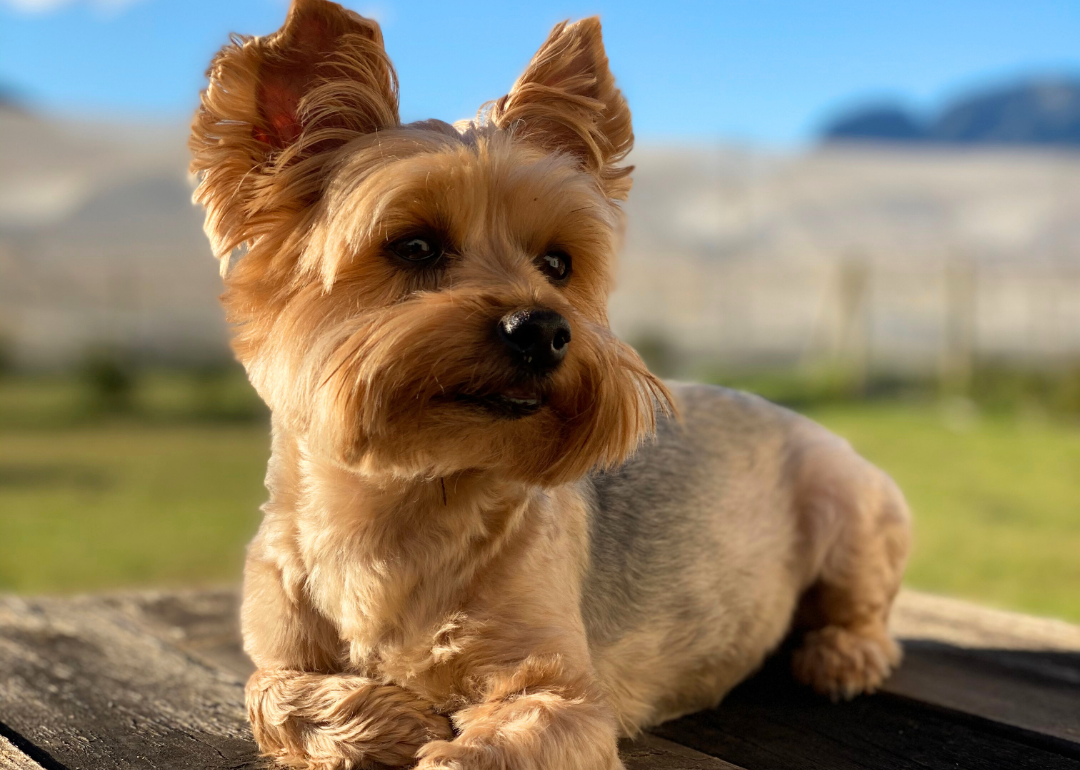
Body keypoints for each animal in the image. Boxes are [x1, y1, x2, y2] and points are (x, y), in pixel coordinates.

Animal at [187, 3, 911, 764]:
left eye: (558, 263)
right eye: (414, 245)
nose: (542, 329)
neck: (401, 503)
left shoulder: (561, 695)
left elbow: (489, 743)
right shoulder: (278, 640)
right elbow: (268, 690)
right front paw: (394, 717)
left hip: (849, 507)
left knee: (863, 607)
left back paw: (842, 654)